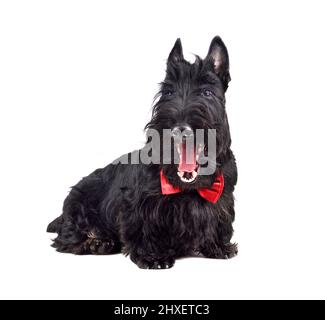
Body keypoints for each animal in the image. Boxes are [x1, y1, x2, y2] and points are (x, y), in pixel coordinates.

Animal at [46, 36, 237, 268]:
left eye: (206, 92)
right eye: (168, 93)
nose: (179, 128)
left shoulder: (223, 197)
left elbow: (220, 222)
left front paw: (218, 246)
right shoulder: (137, 205)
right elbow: (142, 228)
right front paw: (153, 256)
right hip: (78, 204)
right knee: (67, 237)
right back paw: (97, 242)